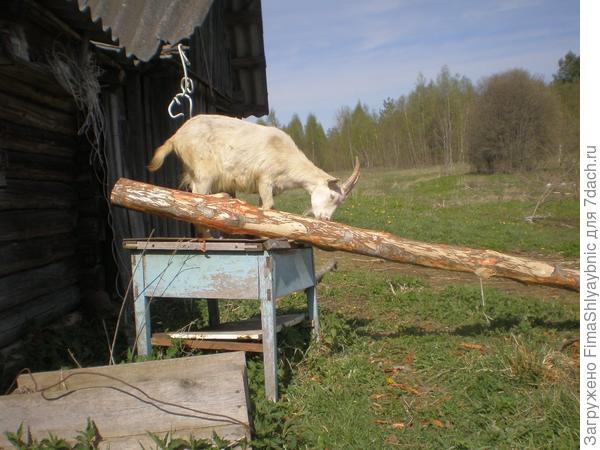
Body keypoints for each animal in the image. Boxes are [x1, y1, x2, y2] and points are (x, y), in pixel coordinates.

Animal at [147, 114, 358, 220]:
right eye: (332, 196)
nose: (325, 219)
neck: (288, 158)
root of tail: (176, 137)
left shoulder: (268, 187)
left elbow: (265, 206)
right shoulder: (265, 178)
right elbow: (269, 206)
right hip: (204, 170)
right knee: (198, 196)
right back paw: (223, 197)